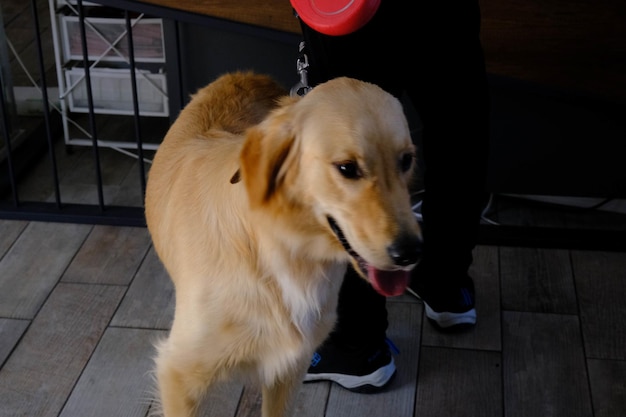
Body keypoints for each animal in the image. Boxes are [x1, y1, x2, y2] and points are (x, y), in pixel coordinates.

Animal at [144, 71, 422, 416]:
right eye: (347, 168)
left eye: (406, 160)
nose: (410, 252)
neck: (282, 251)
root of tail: (242, 74)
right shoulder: (179, 373)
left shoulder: (290, 368)